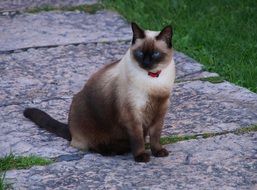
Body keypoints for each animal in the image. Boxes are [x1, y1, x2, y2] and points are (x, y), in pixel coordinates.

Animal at [23, 21, 175, 162]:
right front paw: (141, 157)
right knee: (93, 145)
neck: (153, 79)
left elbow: (155, 136)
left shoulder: (160, 111)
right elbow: (138, 140)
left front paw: (158, 152)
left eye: (155, 54)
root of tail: (71, 130)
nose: (146, 63)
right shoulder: (133, 114)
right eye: (140, 53)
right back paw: (110, 151)